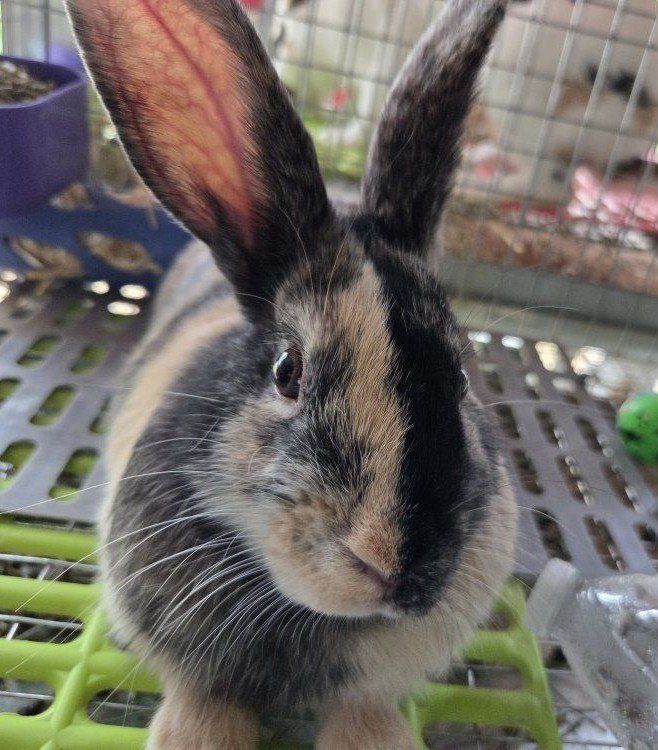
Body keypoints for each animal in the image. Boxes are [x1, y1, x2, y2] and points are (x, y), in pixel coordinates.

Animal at [66, 0, 517, 747]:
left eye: (458, 373)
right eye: (287, 371)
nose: (397, 567)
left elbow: (365, 713)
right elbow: (202, 700)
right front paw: (190, 735)